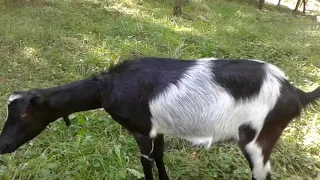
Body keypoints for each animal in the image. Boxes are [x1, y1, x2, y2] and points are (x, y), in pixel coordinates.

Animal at [0, 57, 320, 179]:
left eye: (25, 113)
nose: (3, 145)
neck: (108, 86)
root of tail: (295, 93)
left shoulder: (141, 130)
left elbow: (147, 164)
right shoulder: (159, 131)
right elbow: (160, 159)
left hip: (258, 140)